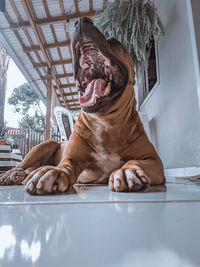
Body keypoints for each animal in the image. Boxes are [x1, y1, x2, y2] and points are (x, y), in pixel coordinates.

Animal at [0, 18, 165, 195]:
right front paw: (54, 171)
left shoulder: (154, 161)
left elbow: (136, 161)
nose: (80, 20)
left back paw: (20, 176)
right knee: (20, 166)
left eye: (114, 41)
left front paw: (128, 170)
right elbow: (65, 165)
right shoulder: (72, 158)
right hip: (43, 146)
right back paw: (10, 175)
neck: (106, 121)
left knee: (27, 171)